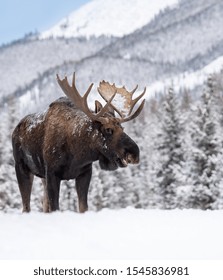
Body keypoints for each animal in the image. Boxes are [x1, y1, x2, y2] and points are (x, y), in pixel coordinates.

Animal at [12, 73, 145, 213]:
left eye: (122, 128)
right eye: (108, 129)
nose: (135, 153)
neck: (77, 154)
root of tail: (15, 130)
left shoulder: (84, 173)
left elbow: (83, 208)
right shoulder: (52, 174)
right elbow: (55, 208)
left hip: (42, 177)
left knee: (44, 205)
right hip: (21, 168)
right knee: (26, 206)